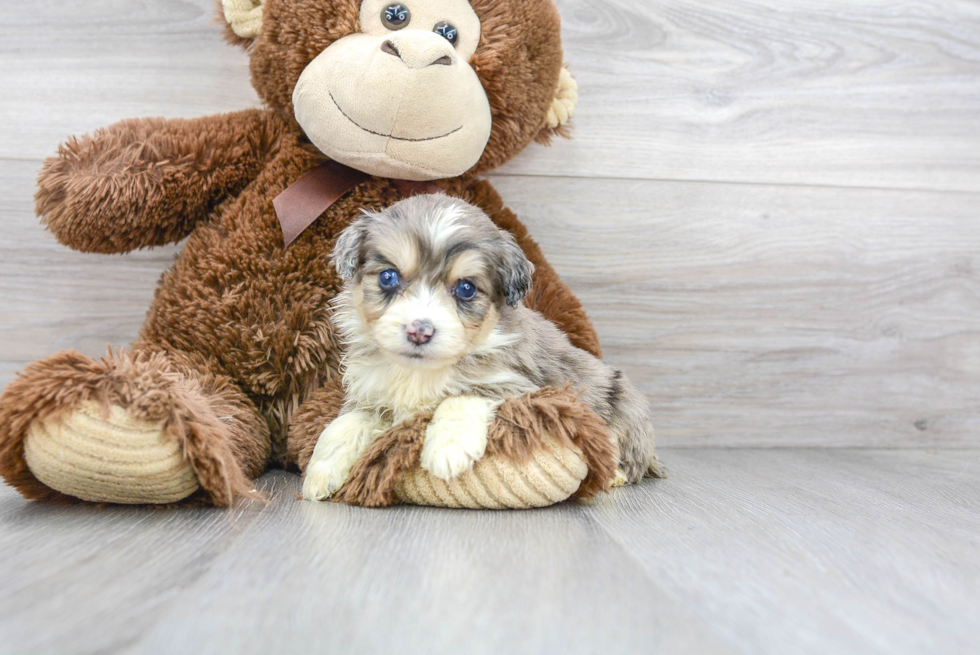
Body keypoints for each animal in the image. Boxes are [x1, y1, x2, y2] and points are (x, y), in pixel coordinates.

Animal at [302, 195, 664, 502]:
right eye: (388, 277)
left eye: (465, 288)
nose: (419, 331)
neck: (421, 371)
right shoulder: (371, 394)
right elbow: (342, 426)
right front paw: (319, 474)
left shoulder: (518, 387)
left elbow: (461, 397)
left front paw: (446, 451)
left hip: (624, 409)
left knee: (630, 460)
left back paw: (615, 474)